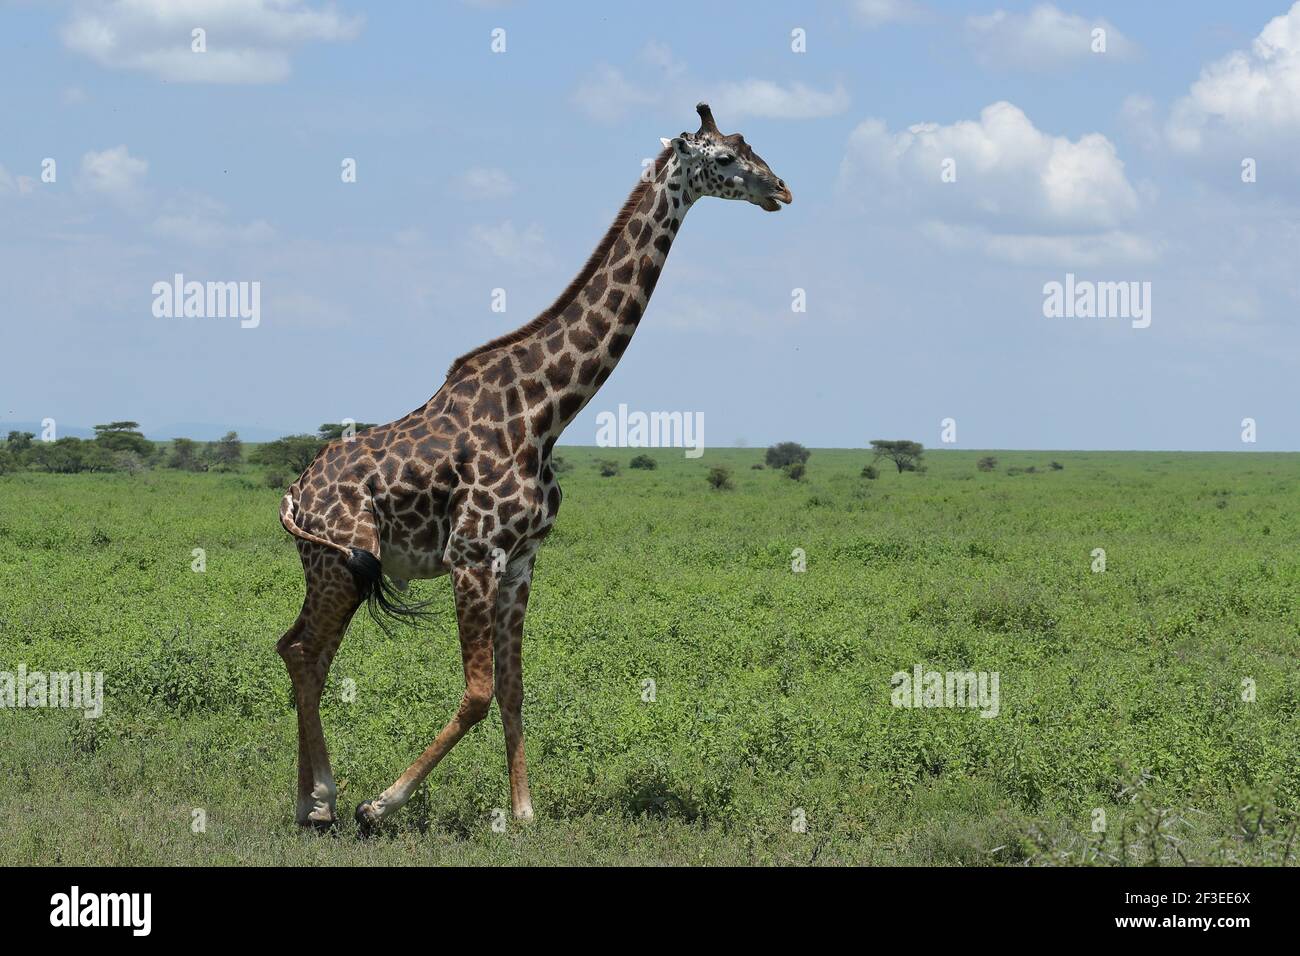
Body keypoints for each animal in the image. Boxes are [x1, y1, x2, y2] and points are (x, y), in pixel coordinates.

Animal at [276, 100, 790, 827]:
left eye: (751, 146)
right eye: (724, 158)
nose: (781, 189)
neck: (546, 413)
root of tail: (295, 491)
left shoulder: (521, 559)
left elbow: (513, 690)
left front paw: (522, 813)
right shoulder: (472, 555)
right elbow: (477, 691)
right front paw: (382, 804)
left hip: (333, 567)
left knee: (303, 652)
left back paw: (311, 801)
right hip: (340, 564)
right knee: (302, 651)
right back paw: (323, 801)